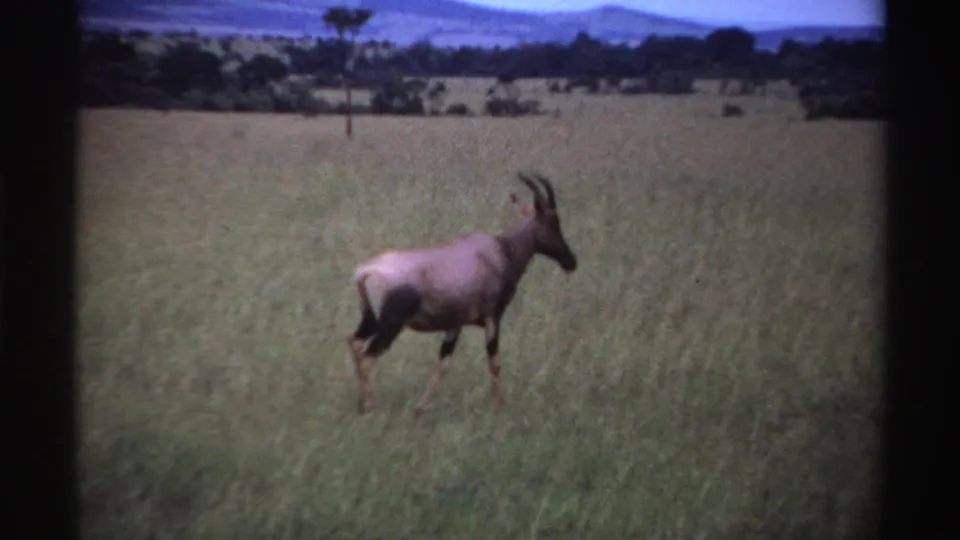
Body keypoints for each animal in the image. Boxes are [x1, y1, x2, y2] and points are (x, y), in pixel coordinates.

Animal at [346, 172, 578, 417]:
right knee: (368, 357)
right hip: (391, 324)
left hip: (370, 319)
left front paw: (419, 408)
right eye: (553, 223)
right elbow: (494, 362)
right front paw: (500, 408)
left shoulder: (454, 324)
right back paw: (368, 409)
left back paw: (361, 404)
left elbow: (444, 364)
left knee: (354, 343)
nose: (571, 261)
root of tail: (365, 271)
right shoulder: (492, 318)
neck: (499, 251)